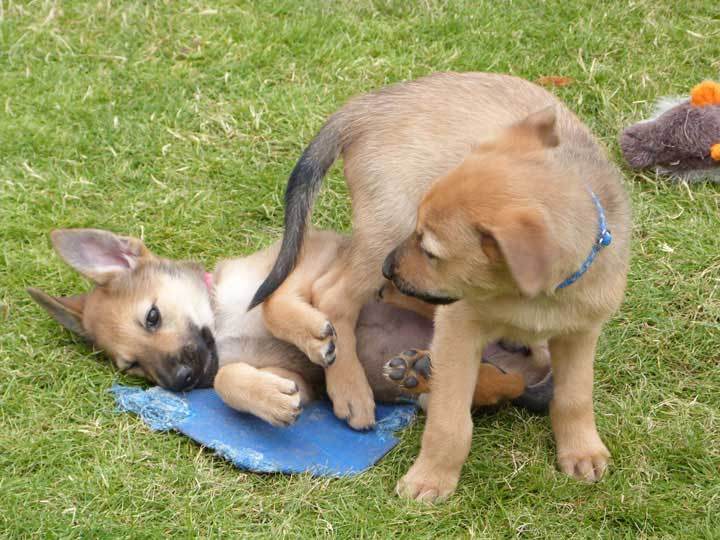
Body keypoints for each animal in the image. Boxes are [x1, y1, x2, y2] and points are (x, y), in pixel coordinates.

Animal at [249, 71, 632, 498]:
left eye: (431, 251)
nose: (388, 268)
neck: (531, 297)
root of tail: (364, 105)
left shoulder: (580, 333)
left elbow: (574, 397)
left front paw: (582, 451)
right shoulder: (458, 327)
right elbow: (451, 421)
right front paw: (431, 478)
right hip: (387, 223)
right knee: (331, 295)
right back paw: (350, 387)